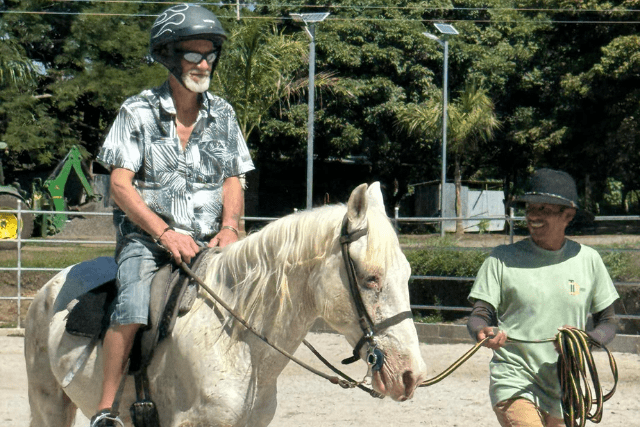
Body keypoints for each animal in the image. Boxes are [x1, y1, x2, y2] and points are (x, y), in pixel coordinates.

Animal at [25, 183, 428, 427]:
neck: (237, 341)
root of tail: (51, 285)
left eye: (408, 275)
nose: (411, 375)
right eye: (371, 278)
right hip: (48, 405)